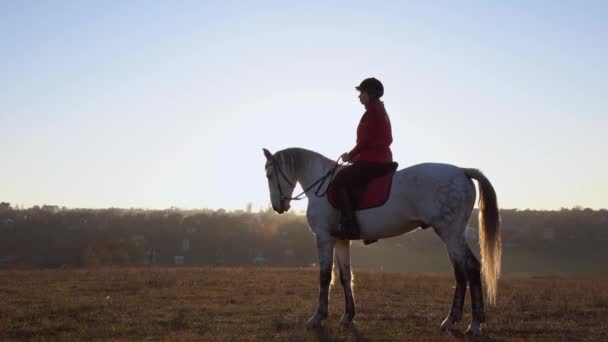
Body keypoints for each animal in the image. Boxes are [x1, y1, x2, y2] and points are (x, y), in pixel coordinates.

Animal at [264, 146, 502, 334]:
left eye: (269, 174)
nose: (277, 207)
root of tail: (462, 171)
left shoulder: (324, 237)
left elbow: (324, 276)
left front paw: (317, 317)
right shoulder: (341, 240)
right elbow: (345, 276)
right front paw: (348, 316)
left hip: (450, 235)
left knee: (467, 271)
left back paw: (464, 323)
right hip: (454, 235)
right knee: (468, 271)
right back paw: (465, 322)